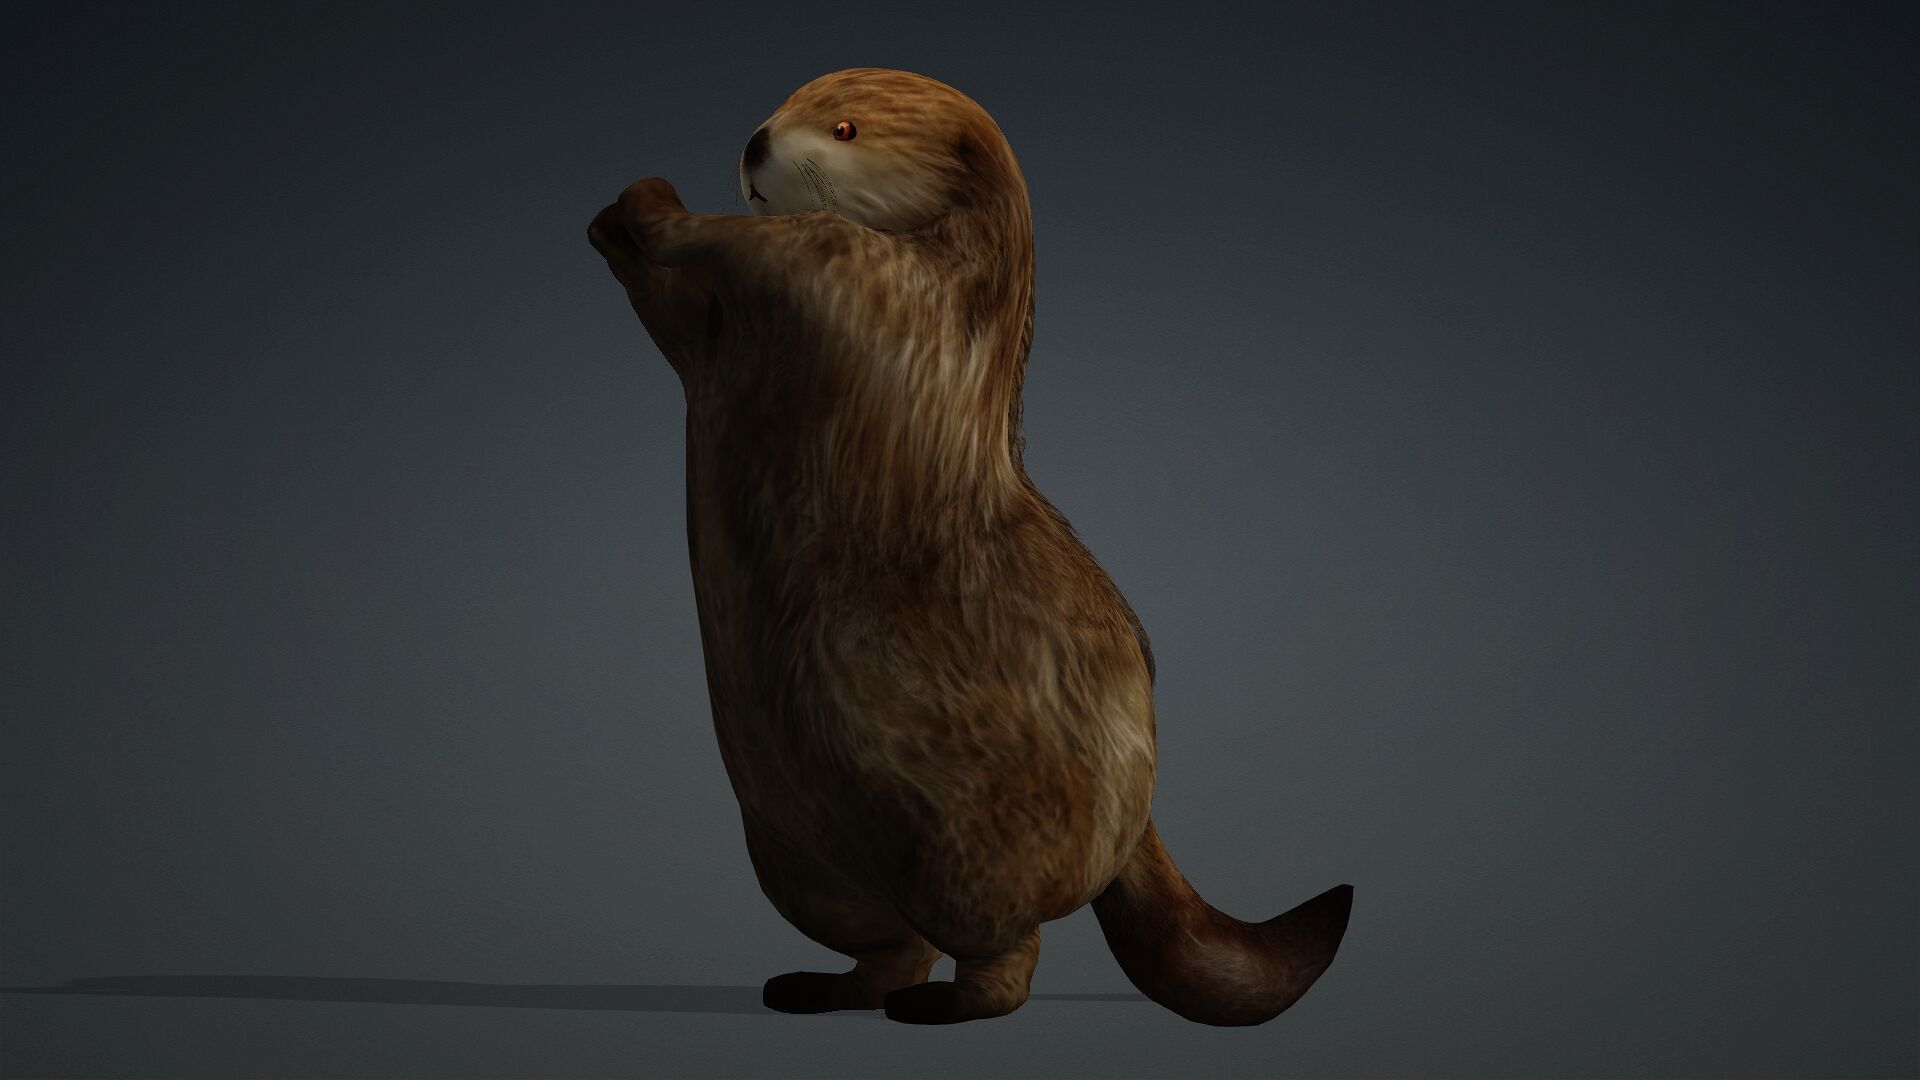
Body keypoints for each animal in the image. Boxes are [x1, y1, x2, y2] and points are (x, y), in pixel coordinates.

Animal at [587, 67, 1351, 1026]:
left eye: (843, 127)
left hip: (971, 846)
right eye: (786, 103)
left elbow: (802, 247)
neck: (972, 287)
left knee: (1004, 946)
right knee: (888, 940)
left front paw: (657, 205)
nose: (756, 144)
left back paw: (946, 1004)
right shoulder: (742, 335)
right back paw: (812, 987)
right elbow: (688, 324)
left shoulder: (904, 290)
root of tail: (1138, 826)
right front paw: (611, 223)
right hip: (798, 856)